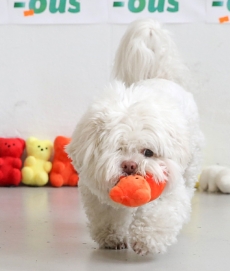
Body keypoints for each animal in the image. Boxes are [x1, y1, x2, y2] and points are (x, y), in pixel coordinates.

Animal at [66, 20, 203, 256]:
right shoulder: (96, 194)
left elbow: (159, 212)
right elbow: (108, 215)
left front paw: (147, 240)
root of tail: (162, 77)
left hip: (190, 167)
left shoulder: (167, 185)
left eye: (148, 152)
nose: (130, 165)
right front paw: (112, 238)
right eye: (117, 148)